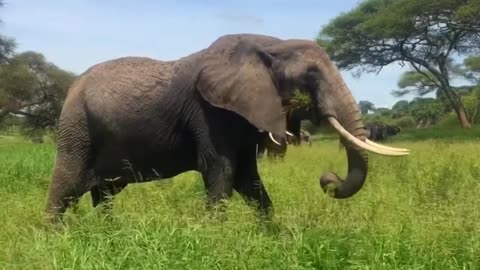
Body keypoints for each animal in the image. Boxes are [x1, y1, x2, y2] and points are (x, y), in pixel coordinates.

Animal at [43, 32, 408, 223]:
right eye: (311, 77)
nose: (327, 179)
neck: (271, 44)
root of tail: (71, 88)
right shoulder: (209, 113)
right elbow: (222, 172)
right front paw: (212, 238)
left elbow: (249, 180)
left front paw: (274, 238)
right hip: (76, 127)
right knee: (65, 186)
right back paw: (55, 238)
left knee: (103, 193)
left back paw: (110, 231)